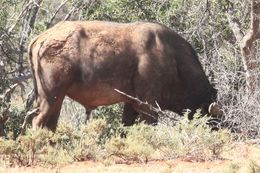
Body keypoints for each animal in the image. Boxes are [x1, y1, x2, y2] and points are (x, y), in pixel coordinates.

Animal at [27, 20, 219, 131]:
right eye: (213, 119)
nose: (217, 131)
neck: (173, 60)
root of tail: (41, 38)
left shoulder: (131, 104)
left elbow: (125, 129)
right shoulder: (148, 107)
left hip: (56, 99)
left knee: (50, 124)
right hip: (50, 97)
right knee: (37, 121)